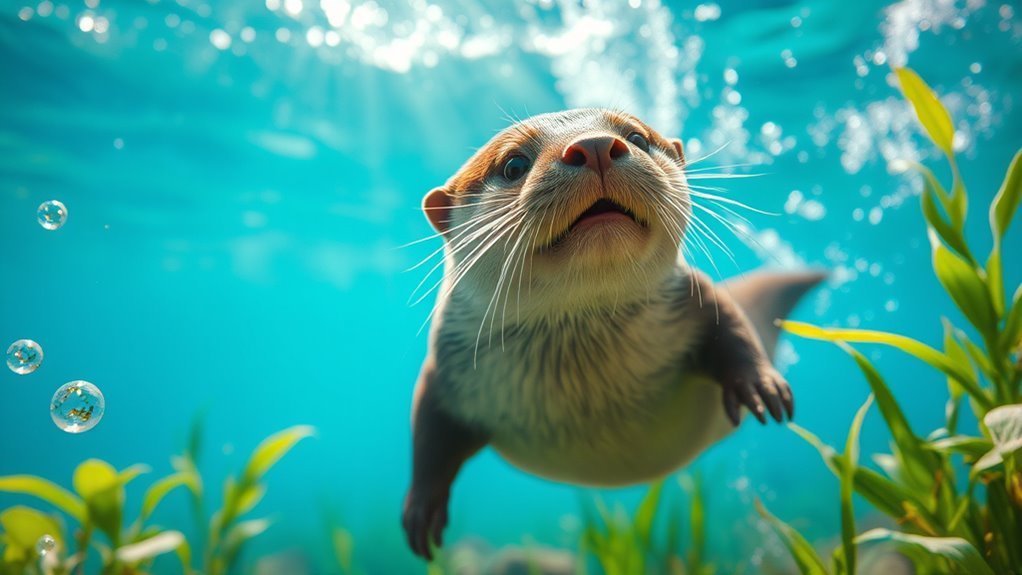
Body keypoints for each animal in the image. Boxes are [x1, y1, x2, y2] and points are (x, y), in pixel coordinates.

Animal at [402, 108, 823, 560]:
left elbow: (731, 325)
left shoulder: (696, 294)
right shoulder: (444, 368)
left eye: (637, 137)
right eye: (513, 165)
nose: (595, 145)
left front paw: (760, 384)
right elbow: (428, 433)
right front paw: (421, 508)